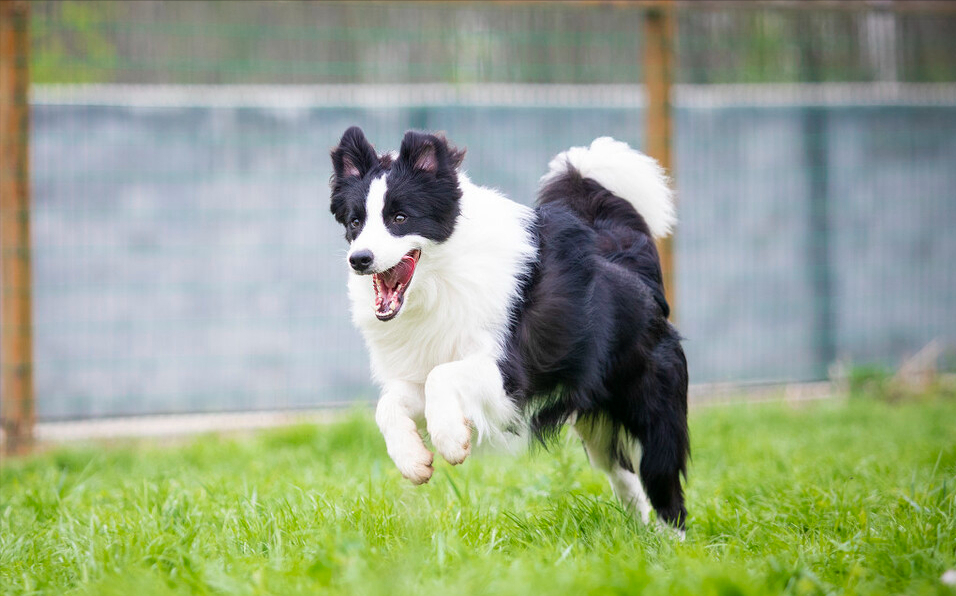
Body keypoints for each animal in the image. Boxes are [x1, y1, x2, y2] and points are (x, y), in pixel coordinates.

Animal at [328, 125, 688, 532]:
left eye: (401, 217)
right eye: (355, 222)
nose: (359, 259)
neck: (442, 278)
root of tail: (635, 274)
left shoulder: (509, 372)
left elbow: (442, 377)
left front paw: (451, 440)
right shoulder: (427, 361)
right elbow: (389, 404)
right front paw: (413, 460)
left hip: (652, 407)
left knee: (664, 482)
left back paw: (670, 542)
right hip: (597, 425)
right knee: (624, 474)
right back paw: (638, 536)